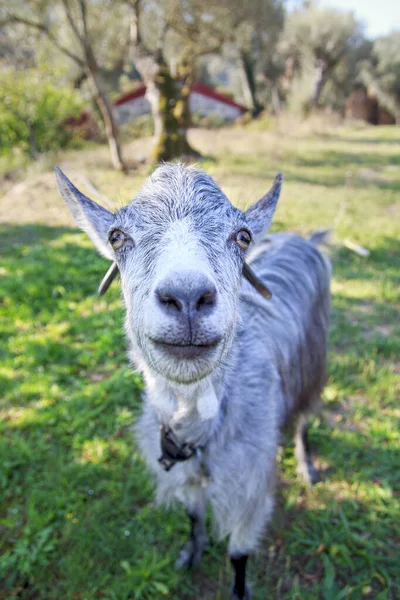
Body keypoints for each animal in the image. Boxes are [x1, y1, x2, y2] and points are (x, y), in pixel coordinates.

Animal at [56, 162, 332, 596]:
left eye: (243, 236)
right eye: (117, 237)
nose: (186, 298)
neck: (200, 435)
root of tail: (304, 239)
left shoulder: (249, 489)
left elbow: (238, 554)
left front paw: (238, 590)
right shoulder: (184, 477)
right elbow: (193, 518)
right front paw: (191, 553)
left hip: (314, 359)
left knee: (304, 418)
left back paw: (307, 467)